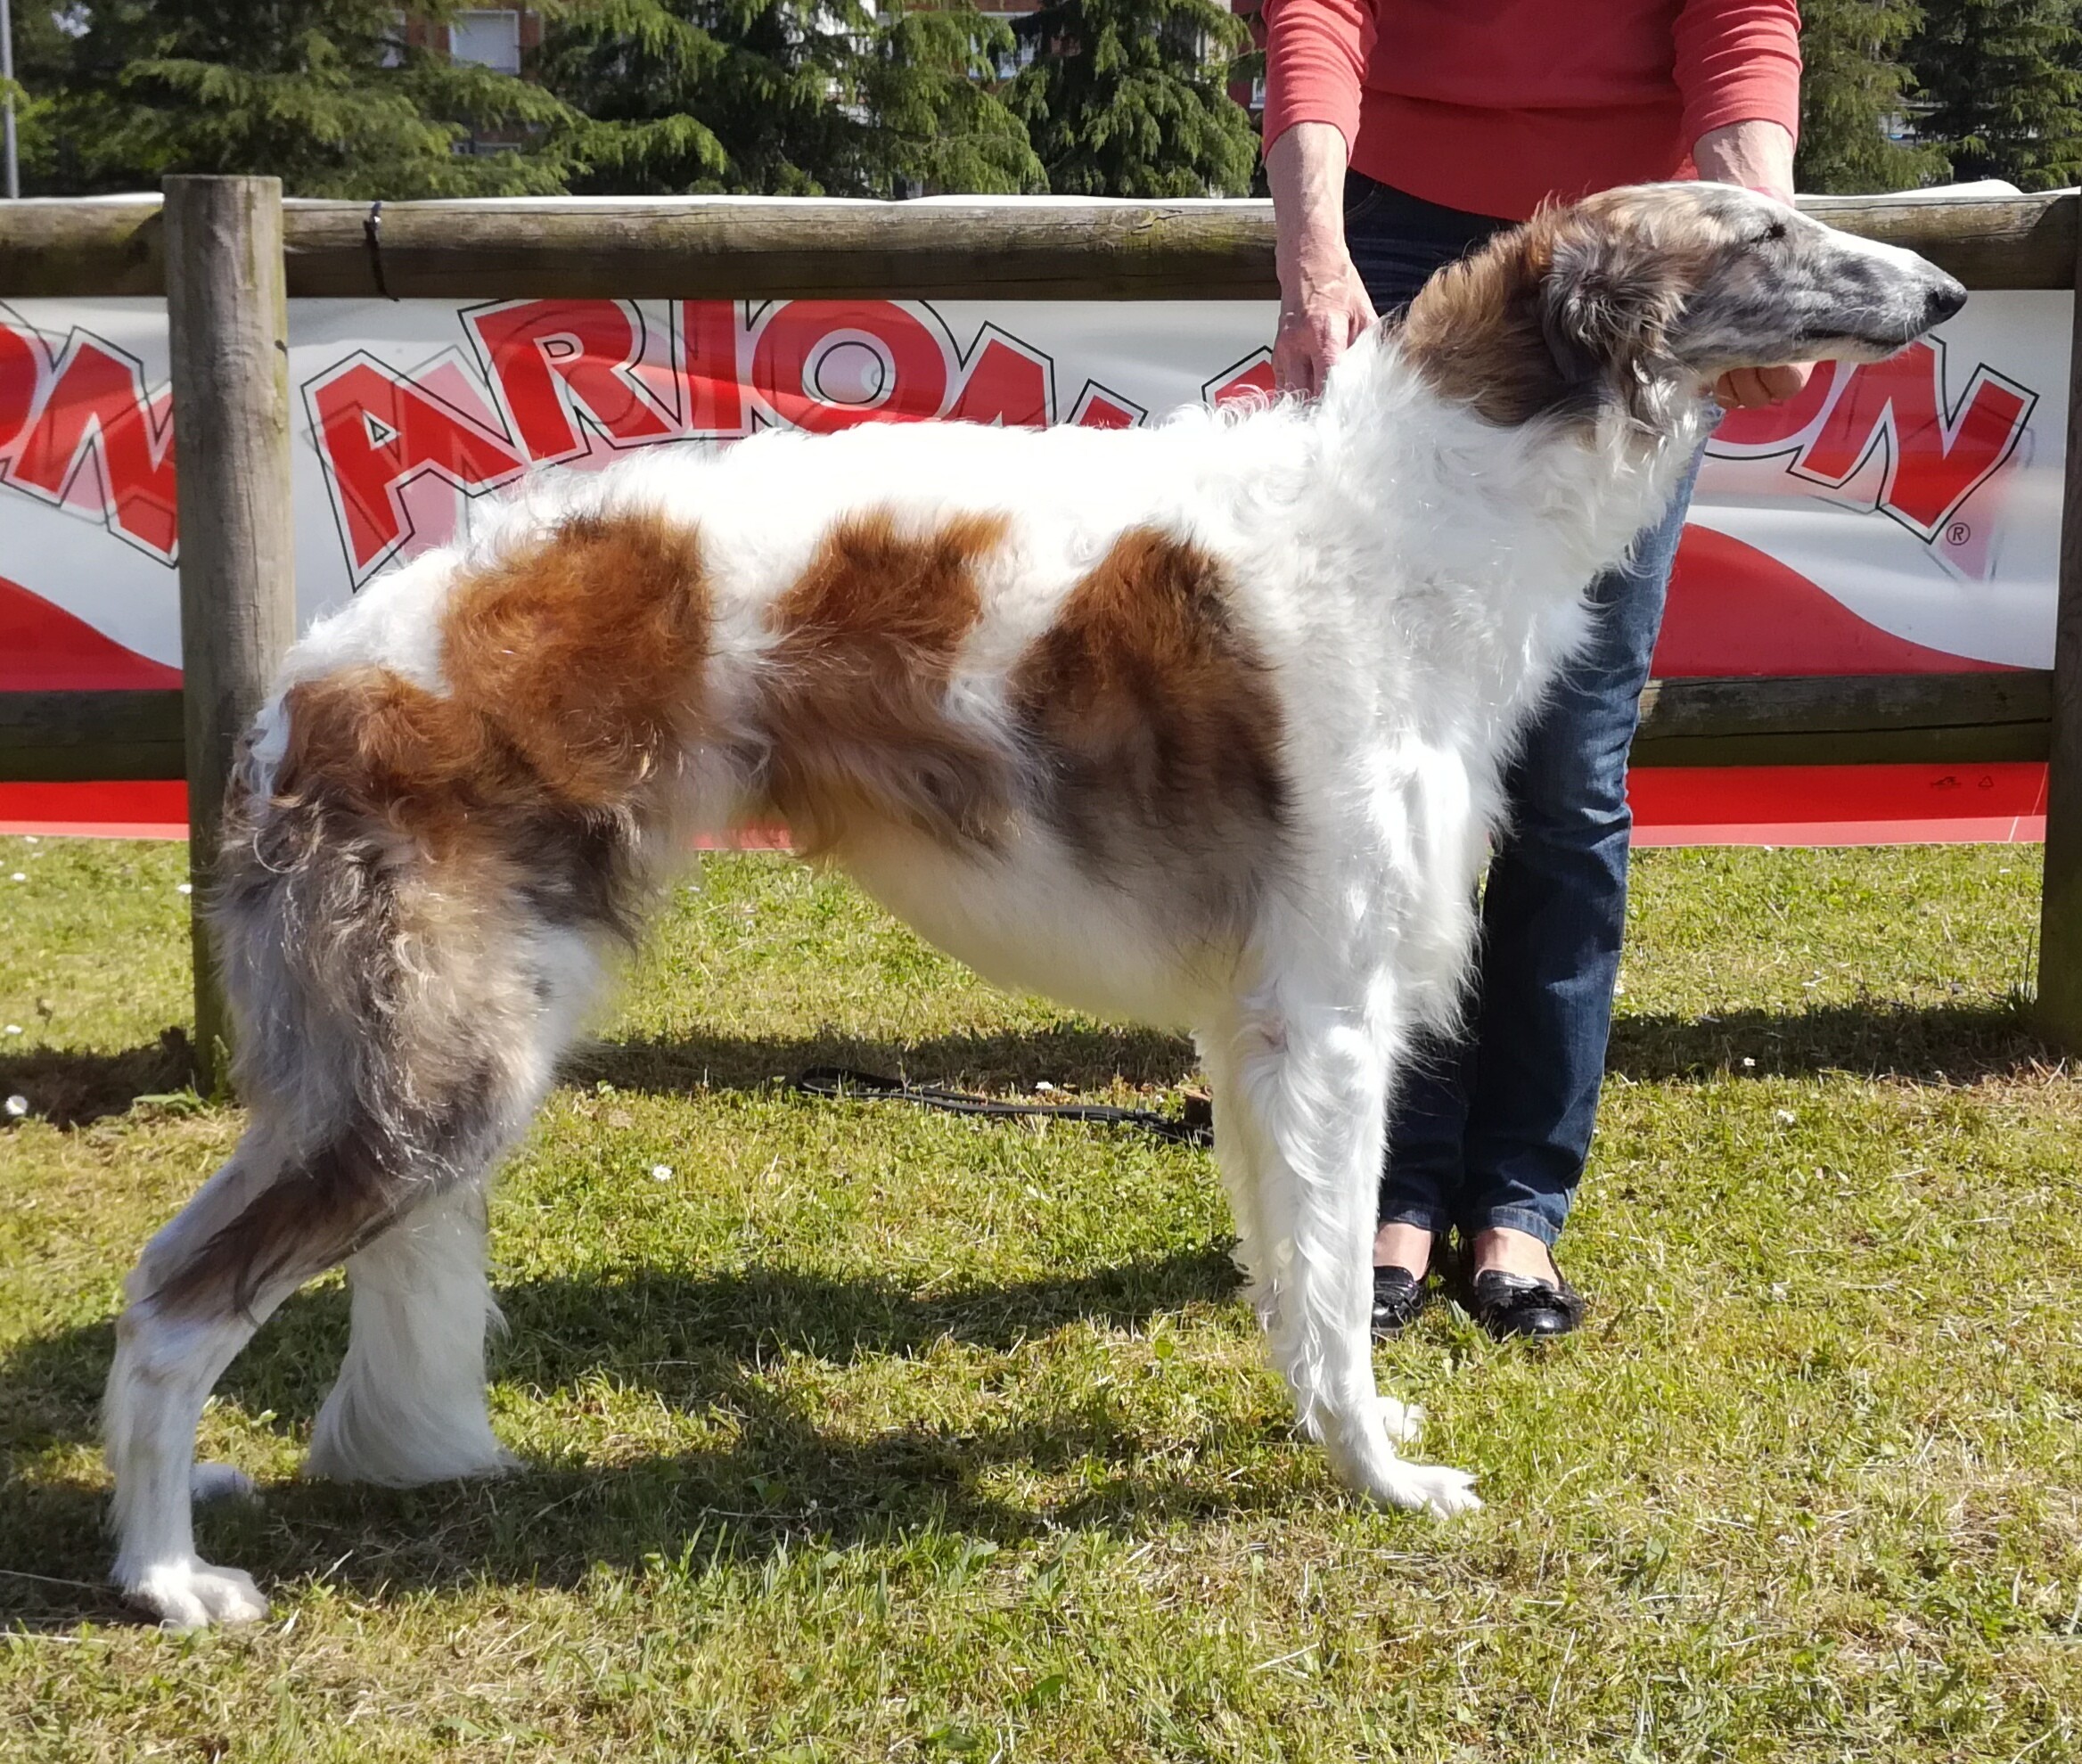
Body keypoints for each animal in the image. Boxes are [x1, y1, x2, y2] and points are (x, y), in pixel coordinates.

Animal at [105, 183, 1956, 1624]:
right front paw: (1380, 1472)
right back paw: (166, 1570)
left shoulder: (1251, 1024)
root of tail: (311, 679)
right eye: (1767, 229)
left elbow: (1292, 1277)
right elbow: (1335, 1274)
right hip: (440, 1065)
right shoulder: (1327, 1010)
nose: (1940, 291)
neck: (1415, 516)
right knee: (170, 1293)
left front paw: (1325, 1429)